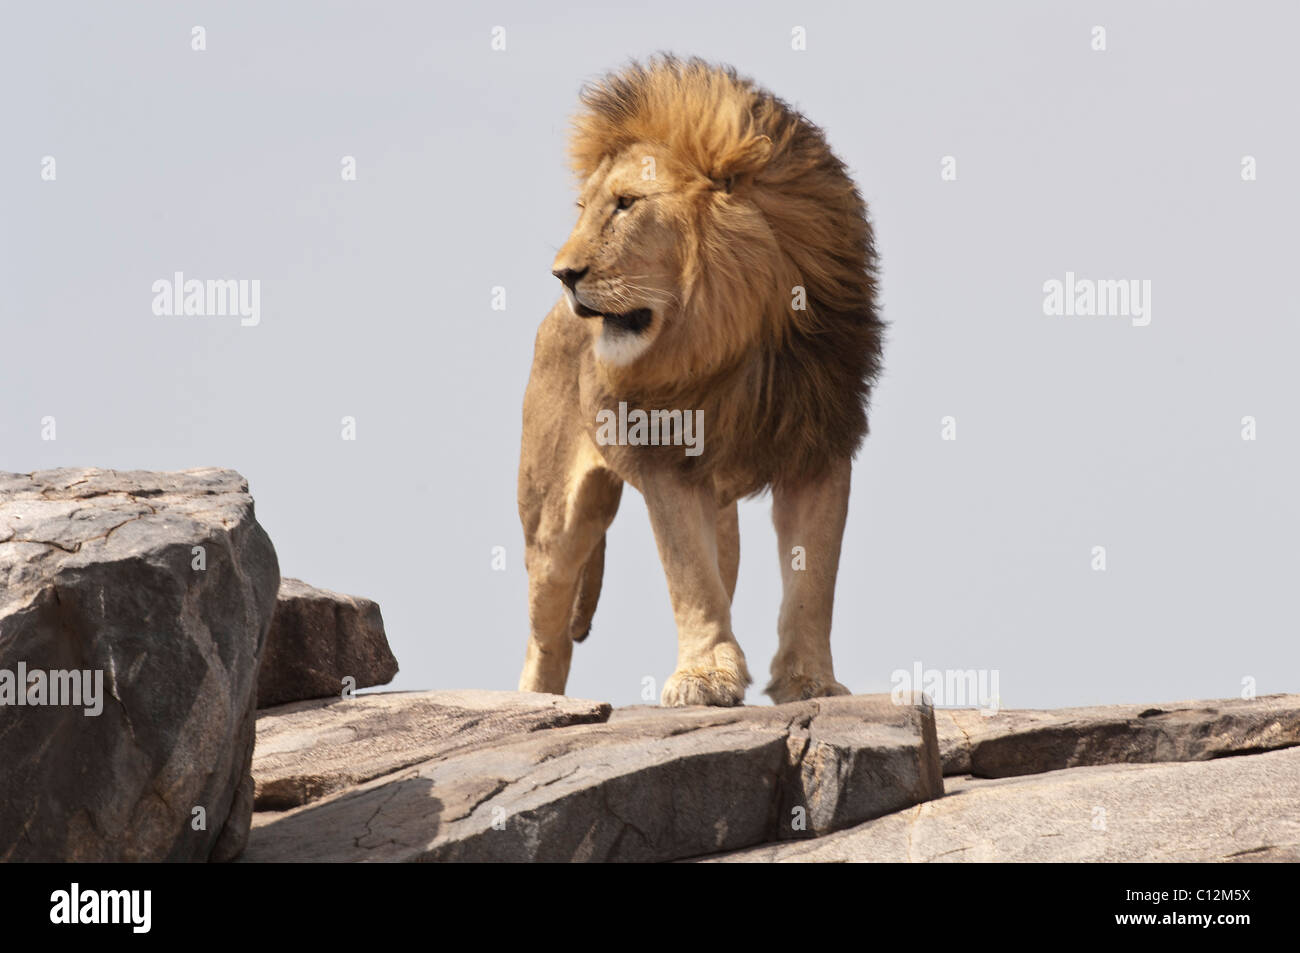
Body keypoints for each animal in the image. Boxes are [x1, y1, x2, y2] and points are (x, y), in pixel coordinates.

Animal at [514, 53, 883, 707]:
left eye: (626, 203)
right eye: (584, 209)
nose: (562, 273)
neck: (726, 339)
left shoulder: (821, 445)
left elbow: (813, 577)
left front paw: (808, 681)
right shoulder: (664, 456)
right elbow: (690, 577)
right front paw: (706, 676)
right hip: (552, 518)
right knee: (546, 635)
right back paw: (535, 705)